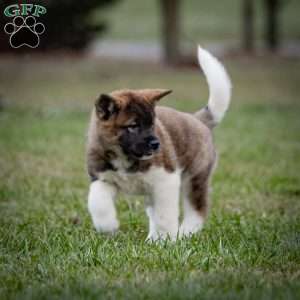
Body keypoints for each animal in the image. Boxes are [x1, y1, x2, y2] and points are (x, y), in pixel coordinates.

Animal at [86, 45, 232, 240]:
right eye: (133, 125)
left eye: (152, 124)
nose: (156, 144)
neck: (125, 156)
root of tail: (197, 119)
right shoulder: (102, 179)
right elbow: (97, 202)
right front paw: (107, 226)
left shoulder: (166, 180)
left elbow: (164, 215)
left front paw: (164, 240)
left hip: (195, 178)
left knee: (197, 209)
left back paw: (185, 233)